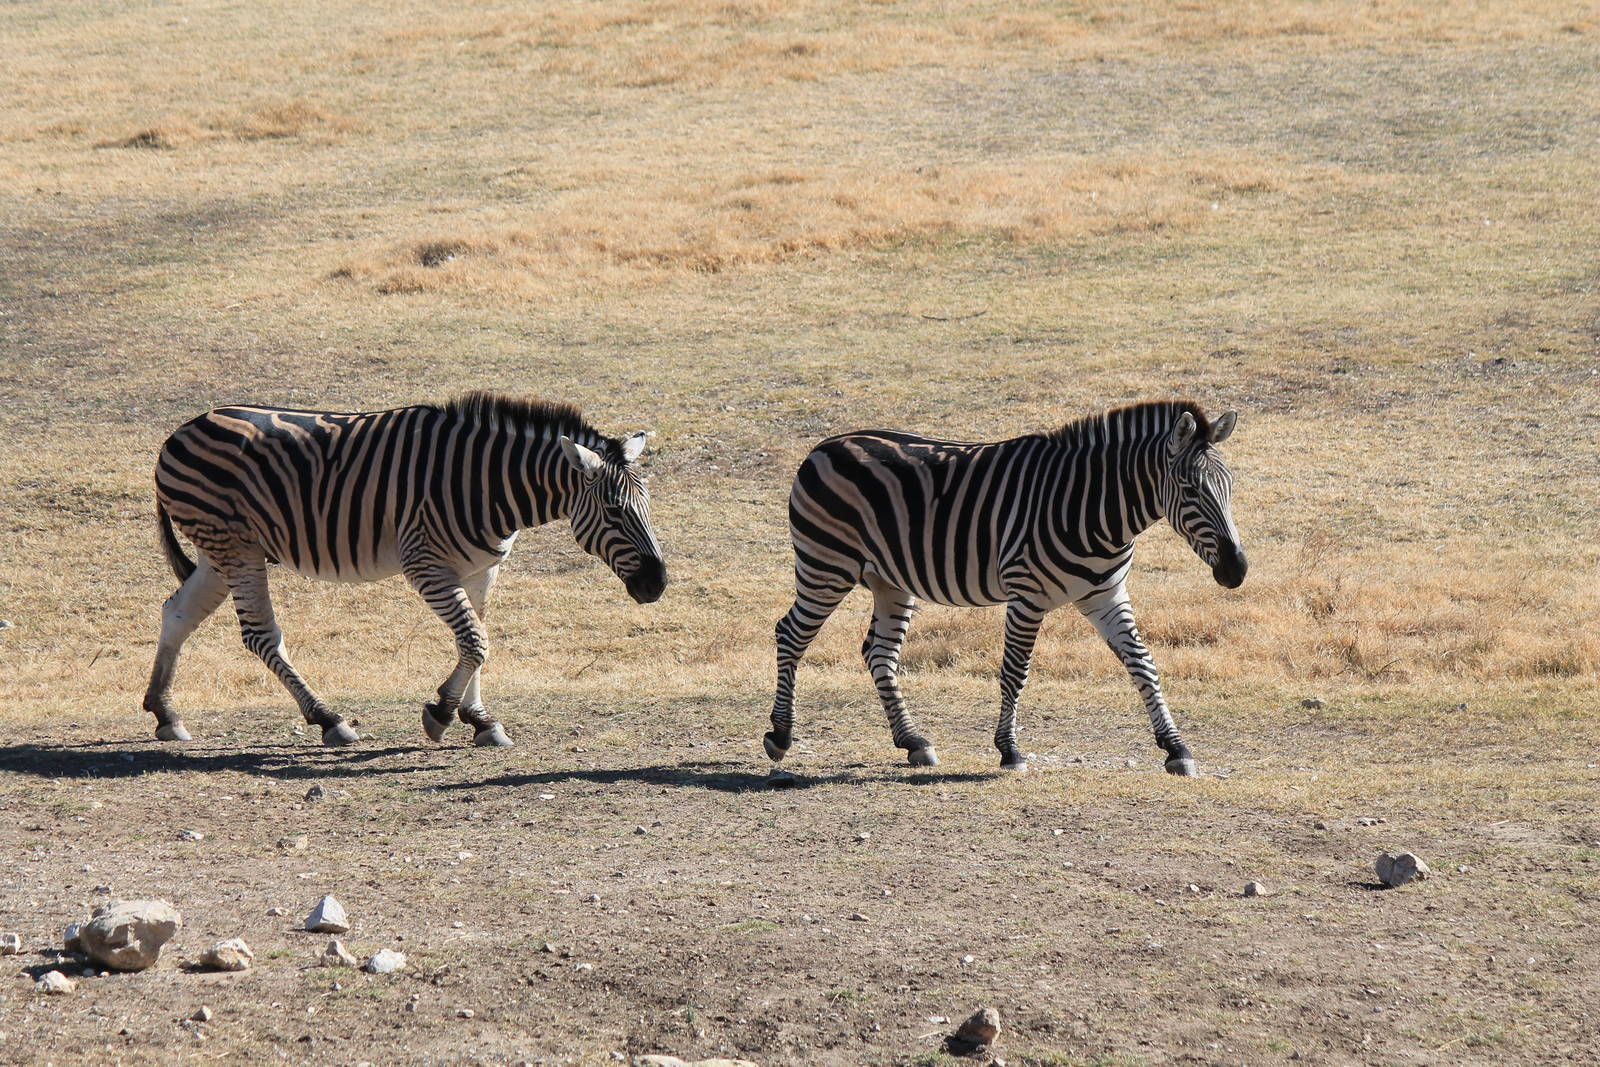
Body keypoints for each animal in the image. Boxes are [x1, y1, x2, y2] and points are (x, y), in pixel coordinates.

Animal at [142, 392, 667, 747]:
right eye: (615, 511)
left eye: (646, 506)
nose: (657, 585)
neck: (486, 483)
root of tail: (179, 432)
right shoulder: (426, 564)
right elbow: (475, 641)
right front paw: (442, 713)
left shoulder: (482, 569)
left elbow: (477, 640)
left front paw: (479, 719)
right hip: (235, 546)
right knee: (259, 635)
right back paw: (328, 719)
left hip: (220, 551)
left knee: (177, 613)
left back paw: (165, 713)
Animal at [765, 400, 1246, 777]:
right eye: (1189, 489)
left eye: (1229, 486)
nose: (1237, 570)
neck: (1095, 508)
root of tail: (825, 445)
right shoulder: (1026, 595)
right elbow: (1015, 671)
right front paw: (1009, 750)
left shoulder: (1105, 595)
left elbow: (1143, 664)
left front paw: (1176, 748)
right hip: (826, 565)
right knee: (791, 635)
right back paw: (780, 735)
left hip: (889, 581)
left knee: (879, 652)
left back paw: (914, 741)